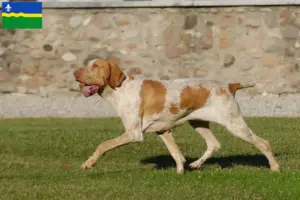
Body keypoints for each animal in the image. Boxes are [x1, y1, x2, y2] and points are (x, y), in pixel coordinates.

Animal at [74, 58, 280, 173]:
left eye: (95, 66)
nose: (75, 73)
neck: (120, 89)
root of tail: (228, 85)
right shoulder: (163, 131)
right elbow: (177, 155)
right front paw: (180, 172)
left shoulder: (133, 133)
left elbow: (103, 145)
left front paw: (89, 163)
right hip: (198, 123)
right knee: (214, 144)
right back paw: (196, 164)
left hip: (234, 125)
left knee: (264, 143)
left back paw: (275, 168)